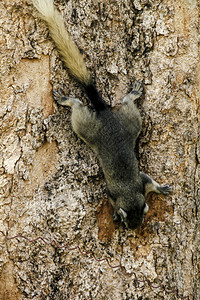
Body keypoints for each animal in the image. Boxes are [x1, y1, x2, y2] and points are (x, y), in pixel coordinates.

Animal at [31, 0, 172, 230]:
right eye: (127, 221)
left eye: (141, 217)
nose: (134, 229)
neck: (128, 192)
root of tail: (106, 115)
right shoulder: (113, 192)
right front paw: (114, 212)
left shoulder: (141, 183)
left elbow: (151, 183)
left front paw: (161, 189)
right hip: (98, 125)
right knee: (84, 105)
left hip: (122, 123)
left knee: (115, 104)